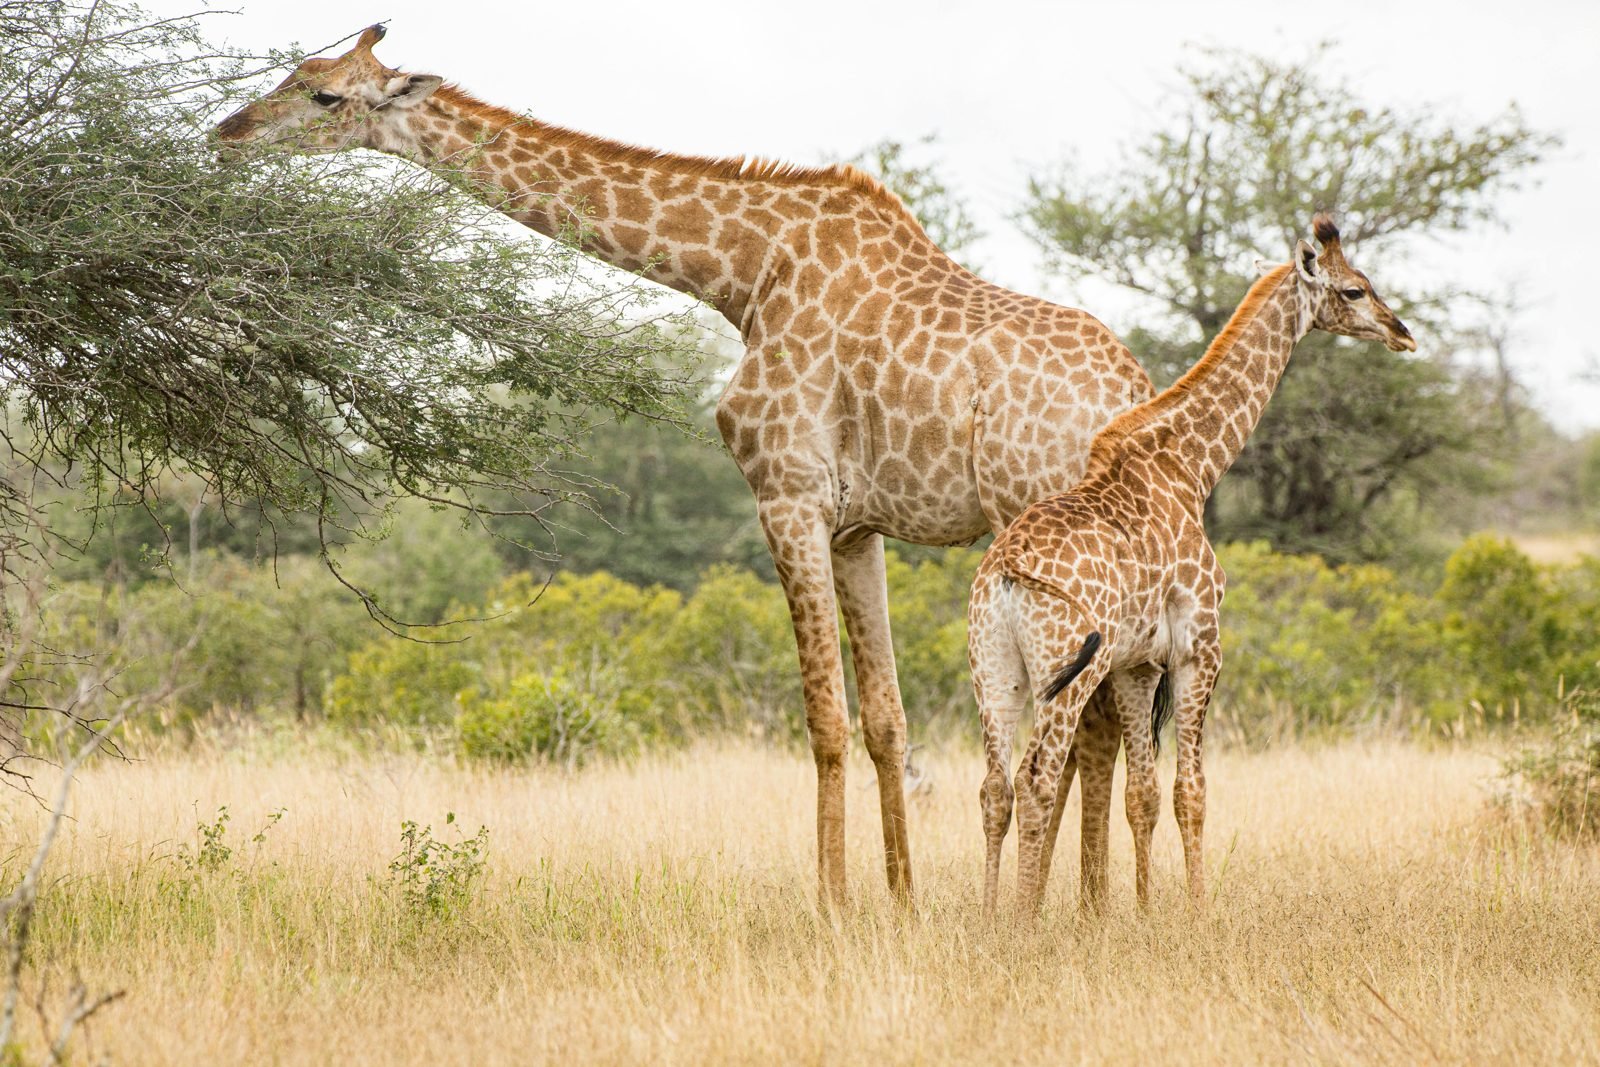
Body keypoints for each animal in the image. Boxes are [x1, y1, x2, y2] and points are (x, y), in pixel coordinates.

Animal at [213, 24, 1156, 904]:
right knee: (1104, 723)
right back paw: (1092, 905)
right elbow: (885, 719)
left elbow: (823, 717)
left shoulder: (786, 494)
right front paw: (902, 898)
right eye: (293, 72)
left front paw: (833, 905)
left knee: (1082, 728)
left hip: (1038, 533)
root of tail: (1133, 389)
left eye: (325, 94)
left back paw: (1060, 907)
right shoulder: (856, 524)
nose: (227, 133)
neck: (744, 273)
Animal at [969, 215, 1415, 915]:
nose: (1403, 333)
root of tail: (1010, 568)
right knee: (1036, 777)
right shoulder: (1199, 645)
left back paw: (990, 919)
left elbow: (1143, 795)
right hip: (1063, 670)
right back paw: (1020, 922)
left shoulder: (1136, 663)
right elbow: (1191, 792)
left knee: (995, 786)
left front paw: (1146, 912)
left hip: (996, 669)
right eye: (1354, 290)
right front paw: (1199, 912)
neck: (1190, 466)